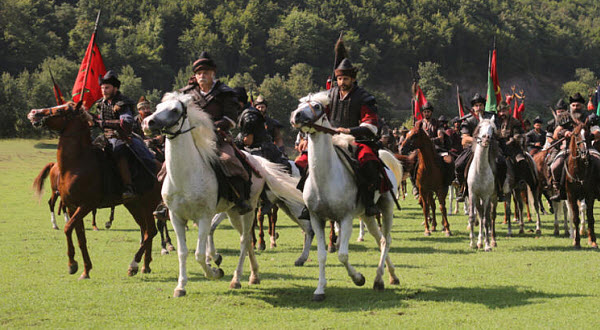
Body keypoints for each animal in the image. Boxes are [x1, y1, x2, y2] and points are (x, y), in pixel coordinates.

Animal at [29, 103, 162, 278]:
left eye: (60, 110)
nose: (33, 113)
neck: (77, 163)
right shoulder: (72, 207)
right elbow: (80, 237)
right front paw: (85, 269)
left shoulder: (86, 205)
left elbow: (68, 228)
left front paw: (72, 264)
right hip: (134, 205)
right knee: (146, 230)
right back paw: (145, 265)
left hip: (148, 205)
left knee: (151, 231)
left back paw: (133, 264)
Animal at [143, 92, 304, 296]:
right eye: (157, 108)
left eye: (174, 110)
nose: (147, 122)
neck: (186, 174)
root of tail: (256, 160)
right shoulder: (176, 217)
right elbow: (183, 251)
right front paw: (181, 286)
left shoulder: (204, 217)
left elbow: (199, 254)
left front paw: (215, 271)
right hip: (233, 212)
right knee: (247, 239)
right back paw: (254, 275)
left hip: (249, 210)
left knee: (245, 240)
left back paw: (236, 279)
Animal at [290, 90, 398, 302]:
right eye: (300, 105)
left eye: (317, 106)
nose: (296, 116)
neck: (326, 177)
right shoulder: (316, 218)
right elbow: (322, 255)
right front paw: (320, 290)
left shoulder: (346, 218)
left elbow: (342, 255)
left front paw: (358, 278)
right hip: (367, 215)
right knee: (380, 239)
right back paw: (389, 276)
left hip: (387, 208)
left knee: (387, 240)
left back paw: (379, 280)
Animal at [466, 118, 500, 250]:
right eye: (480, 127)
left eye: (492, 129)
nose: (486, 138)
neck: (480, 170)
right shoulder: (472, 194)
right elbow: (472, 217)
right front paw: (472, 243)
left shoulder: (486, 197)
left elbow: (486, 220)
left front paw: (487, 245)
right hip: (477, 199)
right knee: (480, 215)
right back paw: (479, 242)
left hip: (493, 198)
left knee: (491, 216)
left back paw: (492, 240)